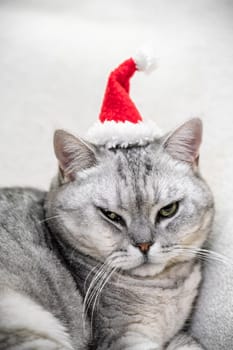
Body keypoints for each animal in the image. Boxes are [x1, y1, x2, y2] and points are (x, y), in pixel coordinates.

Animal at [0, 118, 214, 350]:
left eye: (168, 210)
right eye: (111, 215)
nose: (144, 245)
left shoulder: (176, 334)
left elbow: (188, 342)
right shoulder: (122, 336)